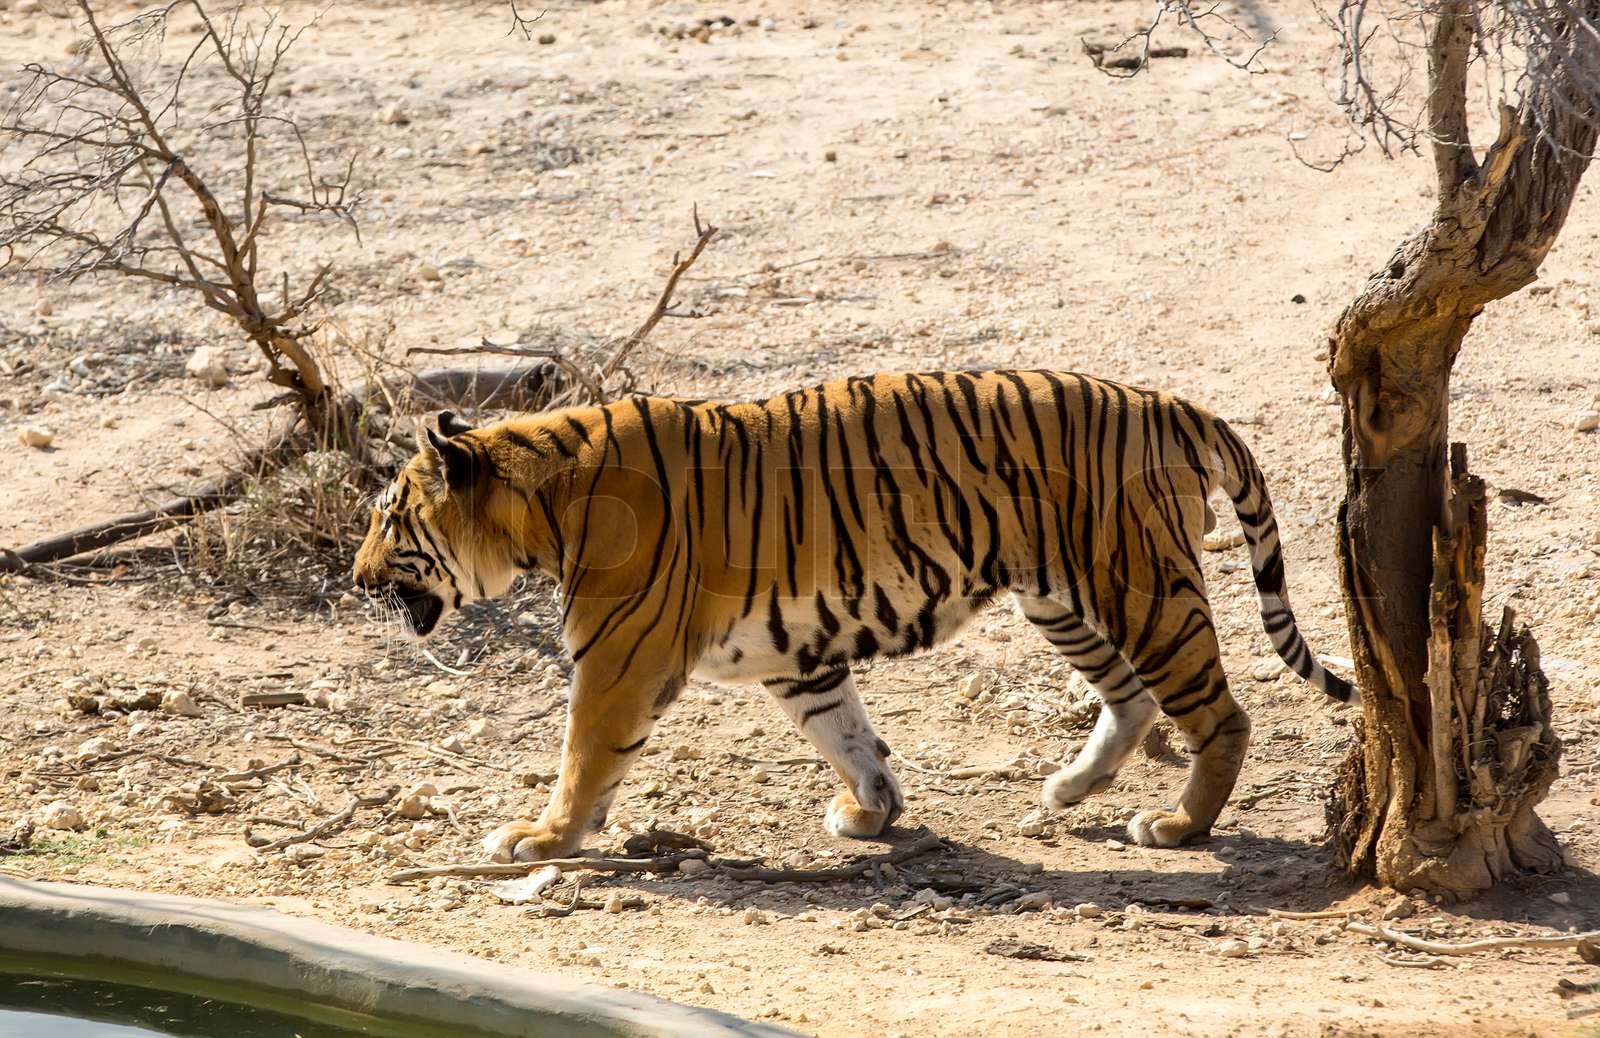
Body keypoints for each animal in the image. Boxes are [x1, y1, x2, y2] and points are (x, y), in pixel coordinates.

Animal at [352, 369, 1350, 863]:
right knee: (1133, 699)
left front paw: (542, 837)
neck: (540, 503)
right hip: (1061, 594)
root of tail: (1169, 402)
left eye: (386, 518)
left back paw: (1179, 827)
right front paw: (872, 811)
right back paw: (1067, 790)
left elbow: (584, 756)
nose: (357, 579)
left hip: (1138, 587)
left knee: (1222, 713)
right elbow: (847, 731)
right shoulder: (799, 654)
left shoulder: (616, 658)